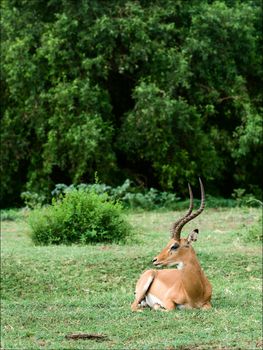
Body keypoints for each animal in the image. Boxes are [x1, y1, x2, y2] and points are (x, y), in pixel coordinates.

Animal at [131, 179, 212, 310]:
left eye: (174, 245)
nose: (155, 260)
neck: (194, 294)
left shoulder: (208, 304)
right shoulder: (168, 301)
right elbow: (171, 308)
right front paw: (158, 307)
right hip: (142, 290)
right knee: (133, 306)